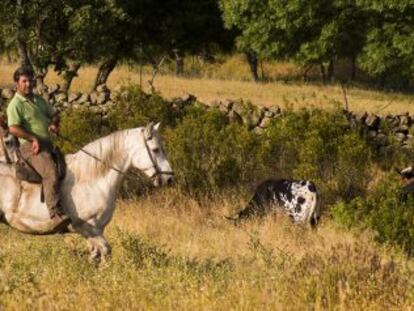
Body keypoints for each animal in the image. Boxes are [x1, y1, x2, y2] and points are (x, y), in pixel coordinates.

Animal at [0, 122, 173, 260]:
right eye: (156, 150)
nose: (169, 178)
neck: (92, 180)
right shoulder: (87, 227)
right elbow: (106, 251)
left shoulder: (96, 230)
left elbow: (95, 255)